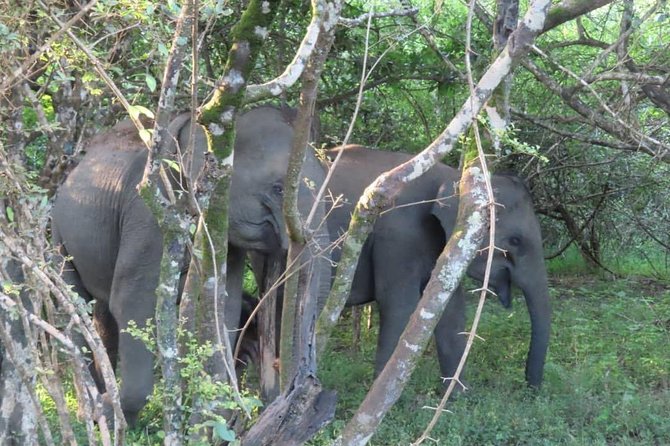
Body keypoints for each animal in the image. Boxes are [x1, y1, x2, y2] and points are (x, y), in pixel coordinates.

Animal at [51, 106, 329, 424]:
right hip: (59, 235)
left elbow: (225, 306)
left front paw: (215, 414)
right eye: (279, 188)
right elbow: (133, 302)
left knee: (102, 312)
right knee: (76, 304)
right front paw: (114, 413)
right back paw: (91, 408)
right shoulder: (151, 209)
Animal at [324, 145, 551, 387]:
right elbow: (399, 306)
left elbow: (451, 310)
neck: (455, 178)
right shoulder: (398, 238)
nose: (531, 388)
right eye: (515, 241)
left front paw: (458, 395)